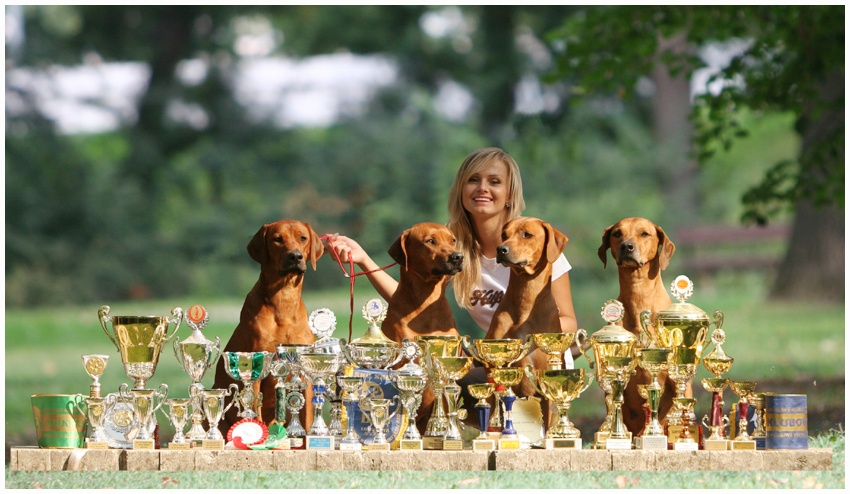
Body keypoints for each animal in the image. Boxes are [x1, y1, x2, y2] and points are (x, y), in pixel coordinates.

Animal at [214, 220, 322, 436]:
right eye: (277, 239)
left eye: (303, 238)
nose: (295, 256)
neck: (284, 303)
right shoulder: (255, 372)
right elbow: (255, 412)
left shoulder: (303, 373)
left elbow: (307, 416)